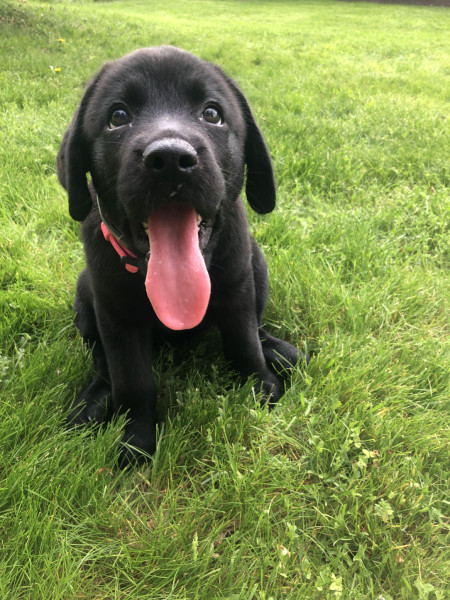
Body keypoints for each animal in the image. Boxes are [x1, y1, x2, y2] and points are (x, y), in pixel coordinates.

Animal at [57, 47, 298, 462]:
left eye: (212, 114)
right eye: (118, 116)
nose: (170, 158)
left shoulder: (237, 290)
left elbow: (245, 344)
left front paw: (262, 387)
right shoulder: (117, 318)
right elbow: (132, 380)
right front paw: (136, 437)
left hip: (258, 267)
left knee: (258, 326)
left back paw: (281, 352)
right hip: (85, 299)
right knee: (102, 363)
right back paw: (94, 400)